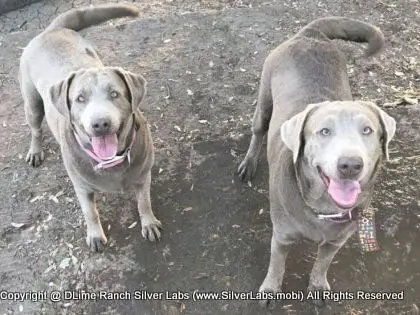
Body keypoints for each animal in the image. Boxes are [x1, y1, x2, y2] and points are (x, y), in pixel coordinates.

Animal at [20, 4, 163, 252]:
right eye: (80, 98)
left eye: (115, 94)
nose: (100, 123)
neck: (110, 161)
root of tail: (52, 30)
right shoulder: (82, 187)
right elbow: (90, 213)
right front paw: (95, 235)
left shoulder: (143, 175)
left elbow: (144, 202)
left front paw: (149, 223)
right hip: (32, 103)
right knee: (36, 129)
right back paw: (35, 151)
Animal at [238, 16, 396, 308]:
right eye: (324, 131)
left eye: (367, 130)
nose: (350, 165)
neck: (323, 207)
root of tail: (310, 34)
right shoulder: (281, 236)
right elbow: (276, 264)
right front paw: (270, 289)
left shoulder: (336, 241)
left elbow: (323, 263)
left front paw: (318, 285)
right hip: (264, 99)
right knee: (258, 131)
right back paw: (248, 163)